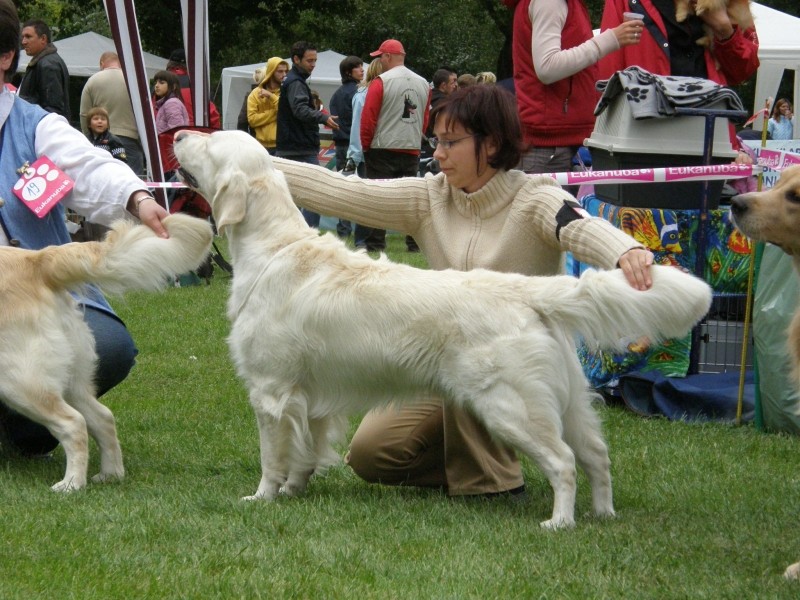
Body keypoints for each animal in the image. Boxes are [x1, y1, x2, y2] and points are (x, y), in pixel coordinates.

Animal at [0, 214, 212, 492]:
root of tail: (37, 260)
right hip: (71, 380)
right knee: (102, 418)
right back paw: (110, 474)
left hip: (20, 381)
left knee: (73, 423)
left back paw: (71, 484)